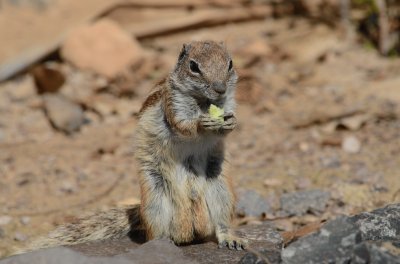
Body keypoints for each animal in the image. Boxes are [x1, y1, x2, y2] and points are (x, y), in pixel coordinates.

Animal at [22, 40, 247, 253]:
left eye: (230, 63)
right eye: (193, 66)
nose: (220, 89)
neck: (203, 102)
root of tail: (189, 230)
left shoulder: (228, 102)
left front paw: (231, 122)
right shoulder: (172, 103)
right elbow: (182, 126)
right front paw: (201, 123)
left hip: (221, 188)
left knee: (221, 222)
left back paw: (230, 238)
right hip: (155, 198)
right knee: (155, 234)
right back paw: (162, 242)